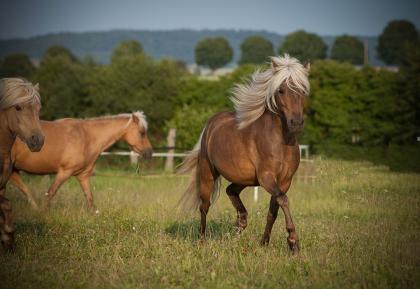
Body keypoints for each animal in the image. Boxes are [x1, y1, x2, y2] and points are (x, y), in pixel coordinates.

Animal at [0, 78, 44, 250]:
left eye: (39, 108)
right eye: (18, 107)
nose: (38, 141)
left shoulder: (2, 186)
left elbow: (6, 207)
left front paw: (8, 239)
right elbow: (6, 205)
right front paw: (8, 237)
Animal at [9, 111, 153, 213]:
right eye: (142, 133)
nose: (149, 153)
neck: (86, 137)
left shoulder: (83, 176)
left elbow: (90, 199)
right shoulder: (64, 172)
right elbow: (50, 193)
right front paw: (42, 213)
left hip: (13, 170)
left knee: (24, 189)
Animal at [179, 54, 310, 252]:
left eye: (303, 91)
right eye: (281, 90)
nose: (296, 123)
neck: (281, 142)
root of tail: (211, 124)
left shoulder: (284, 181)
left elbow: (274, 210)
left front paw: (264, 242)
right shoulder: (267, 177)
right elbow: (283, 200)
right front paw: (293, 241)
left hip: (244, 179)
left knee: (230, 191)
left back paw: (239, 225)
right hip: (208, 173)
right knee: (204, 206)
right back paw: (201, 241)